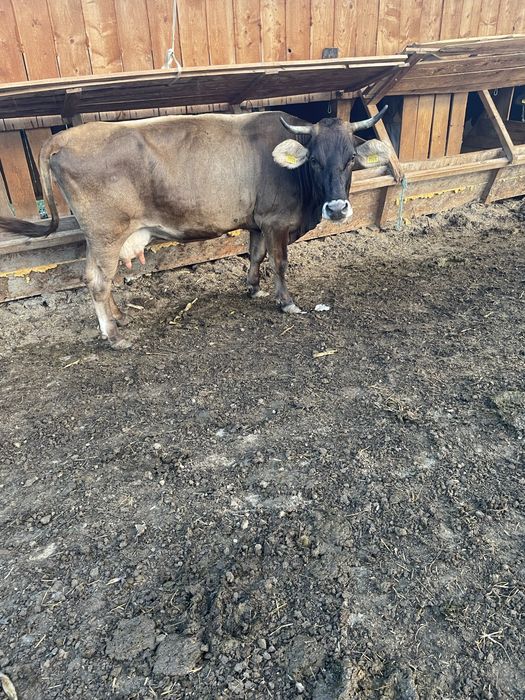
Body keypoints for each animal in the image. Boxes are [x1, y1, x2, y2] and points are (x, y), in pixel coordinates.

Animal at [0, 108, 389, 349]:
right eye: (315, 161)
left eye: (350, 160)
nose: (336, 208)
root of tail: (64, 138)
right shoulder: (277, 221)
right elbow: (279, 262)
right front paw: (287, 302)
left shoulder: (259, 221)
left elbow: (256, 255)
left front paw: (253, 288)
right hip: (106, 233)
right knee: (98, 281)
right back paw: (113, 336)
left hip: (100, 238)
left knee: (96, 278)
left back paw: (120, 318)